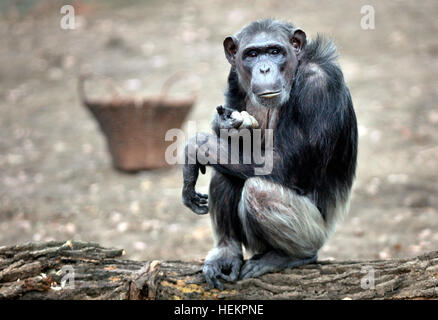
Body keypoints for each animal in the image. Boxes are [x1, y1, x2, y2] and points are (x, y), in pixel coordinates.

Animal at [183, 18, 358, 288]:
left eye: (275, 51)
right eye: (252, 54)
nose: (264, 68)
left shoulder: (318, 87)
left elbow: (281, 163)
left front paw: (196, 146)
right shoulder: (234, 77)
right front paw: (224, 124)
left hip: (317, 232)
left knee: (259, 191)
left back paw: (290, 256)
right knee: (225, 172)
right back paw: (226, 253)